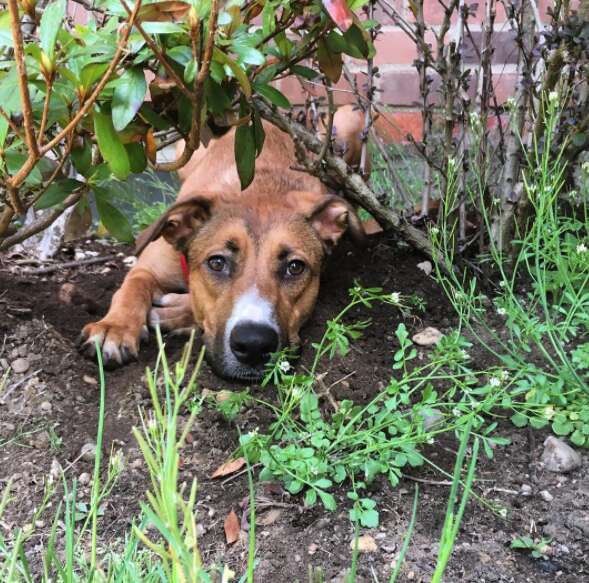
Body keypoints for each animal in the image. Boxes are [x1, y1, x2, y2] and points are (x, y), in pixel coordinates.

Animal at [79, 105, 368, 380]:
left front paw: (176, 312)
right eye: (216, 262)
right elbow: (132, 287)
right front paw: (115, 328)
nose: (254, 345)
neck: (260, 188)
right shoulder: (150, 265)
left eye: (295, 267)